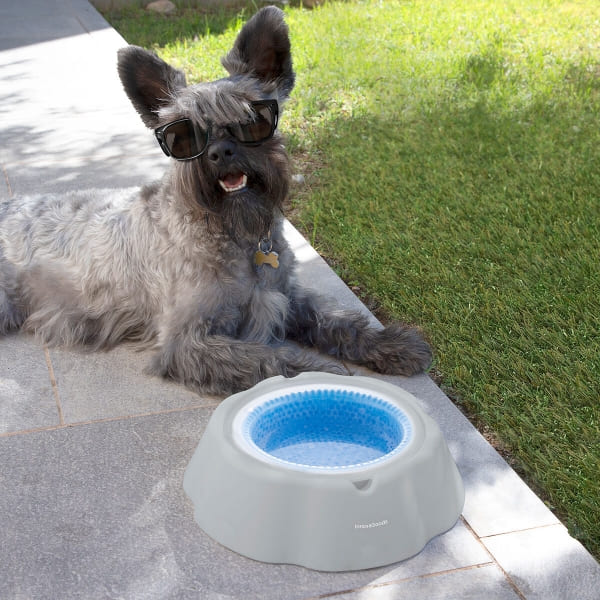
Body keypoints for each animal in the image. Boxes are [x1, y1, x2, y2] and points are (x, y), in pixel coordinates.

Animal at [0, 7, 432, 396]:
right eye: (183, 135)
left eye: (252, 118)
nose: (221, 152)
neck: (234, 237)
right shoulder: (190, 340)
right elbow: (271, 360)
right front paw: (323, 376)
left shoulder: (286, 293)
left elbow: (336, 318)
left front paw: (390, 343)